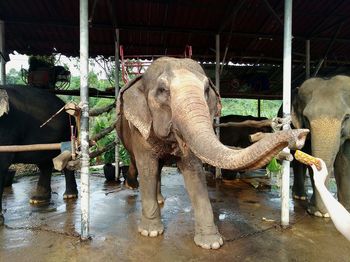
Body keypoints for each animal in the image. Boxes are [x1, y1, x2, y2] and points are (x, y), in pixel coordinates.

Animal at [116, 57, 308, 250]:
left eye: (207, 90)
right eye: (162, 90)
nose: (301, 135)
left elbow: (194, 171)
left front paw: (211, 243)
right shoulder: (140, 129)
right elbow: (147, 167)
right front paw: (150, 232)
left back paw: (160, 199)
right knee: (140, 162)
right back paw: (132, 187)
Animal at [292, 75, 350, 217]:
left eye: (346, 117)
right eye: (306, 118)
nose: (324, 212)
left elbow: (344, 162)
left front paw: (345, 210)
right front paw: (319, 213)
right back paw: (300, 196)